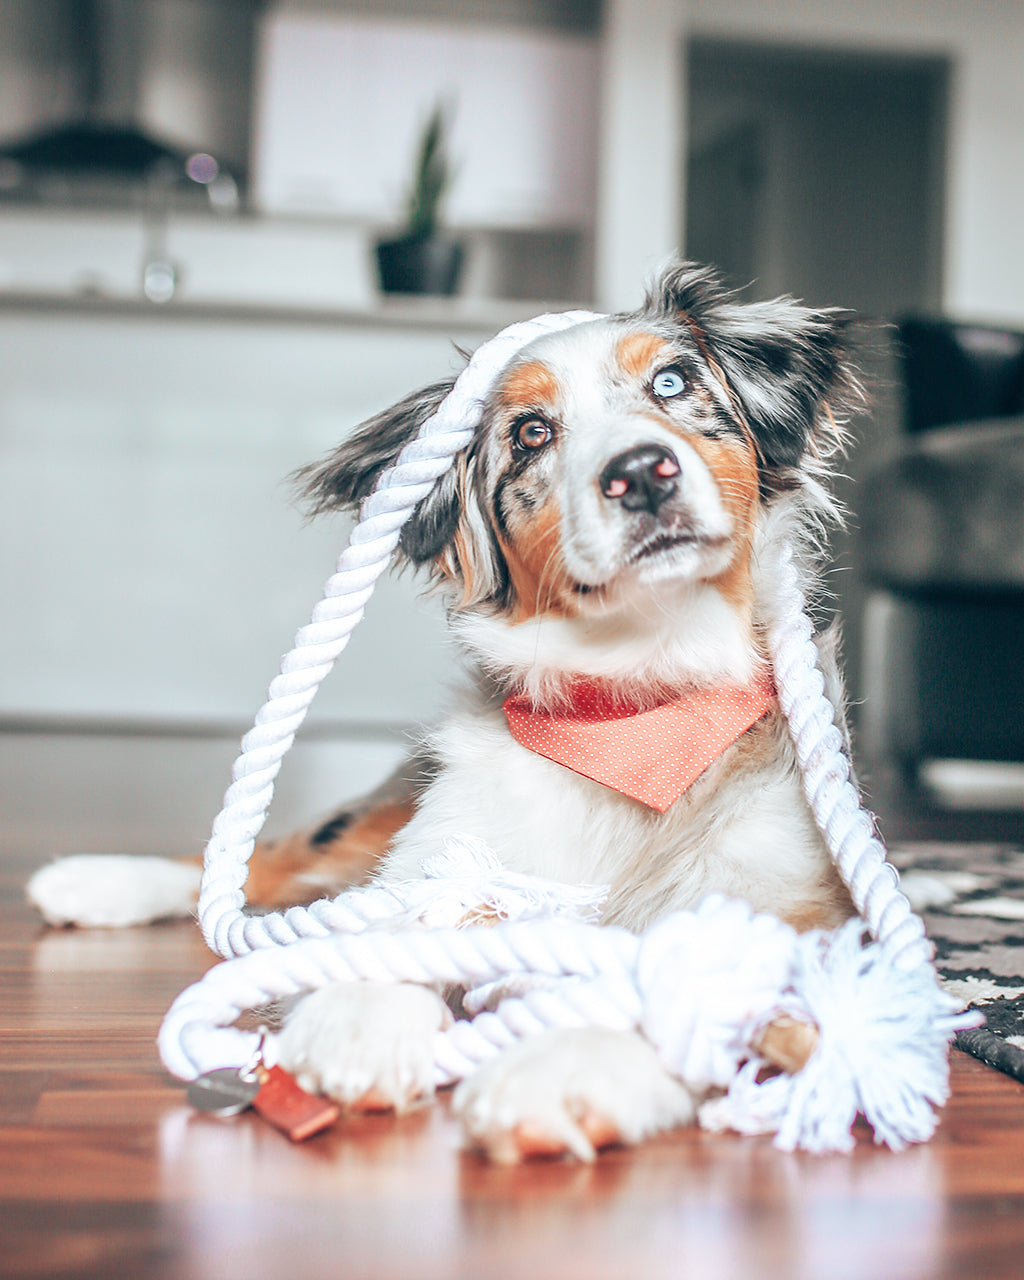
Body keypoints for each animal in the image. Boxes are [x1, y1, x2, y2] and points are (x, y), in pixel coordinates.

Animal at [30, 259, 865, 1162]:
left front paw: (564, 1064)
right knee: (277, 858)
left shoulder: (799, 912)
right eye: (531, 433)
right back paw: (91, 881)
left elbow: (699, 984)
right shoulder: (448, 850)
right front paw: (358, 1011)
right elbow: (392, 923)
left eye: (672, 383)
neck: (632, 710)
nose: (642, 473)